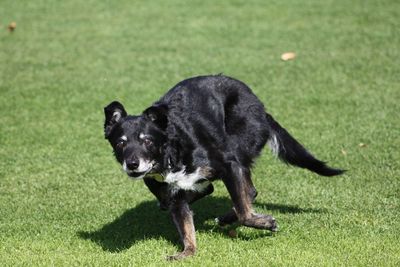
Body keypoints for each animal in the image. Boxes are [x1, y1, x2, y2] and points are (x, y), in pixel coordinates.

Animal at [103, 74, 344, 260]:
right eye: (121, 143)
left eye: (147, 141)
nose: (132, 164)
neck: (171, 156)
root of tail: (258, 103)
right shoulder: (175, 196)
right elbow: (186, 228)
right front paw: (187, 252)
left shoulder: (228, 166)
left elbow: (244, 210)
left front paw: (265, 223)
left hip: (237, 147)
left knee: (248, 192)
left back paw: (231, 217)